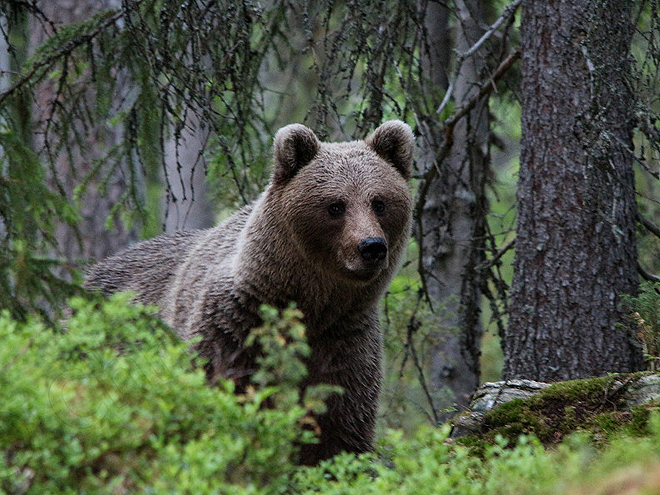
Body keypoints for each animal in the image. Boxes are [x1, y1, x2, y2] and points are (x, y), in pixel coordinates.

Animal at [83, 120, 412, 464]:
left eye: (379, 202)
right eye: (336, 205)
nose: (371, 247)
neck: (307, 302)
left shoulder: (344, 340)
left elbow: (338, 428)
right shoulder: (233, 325)